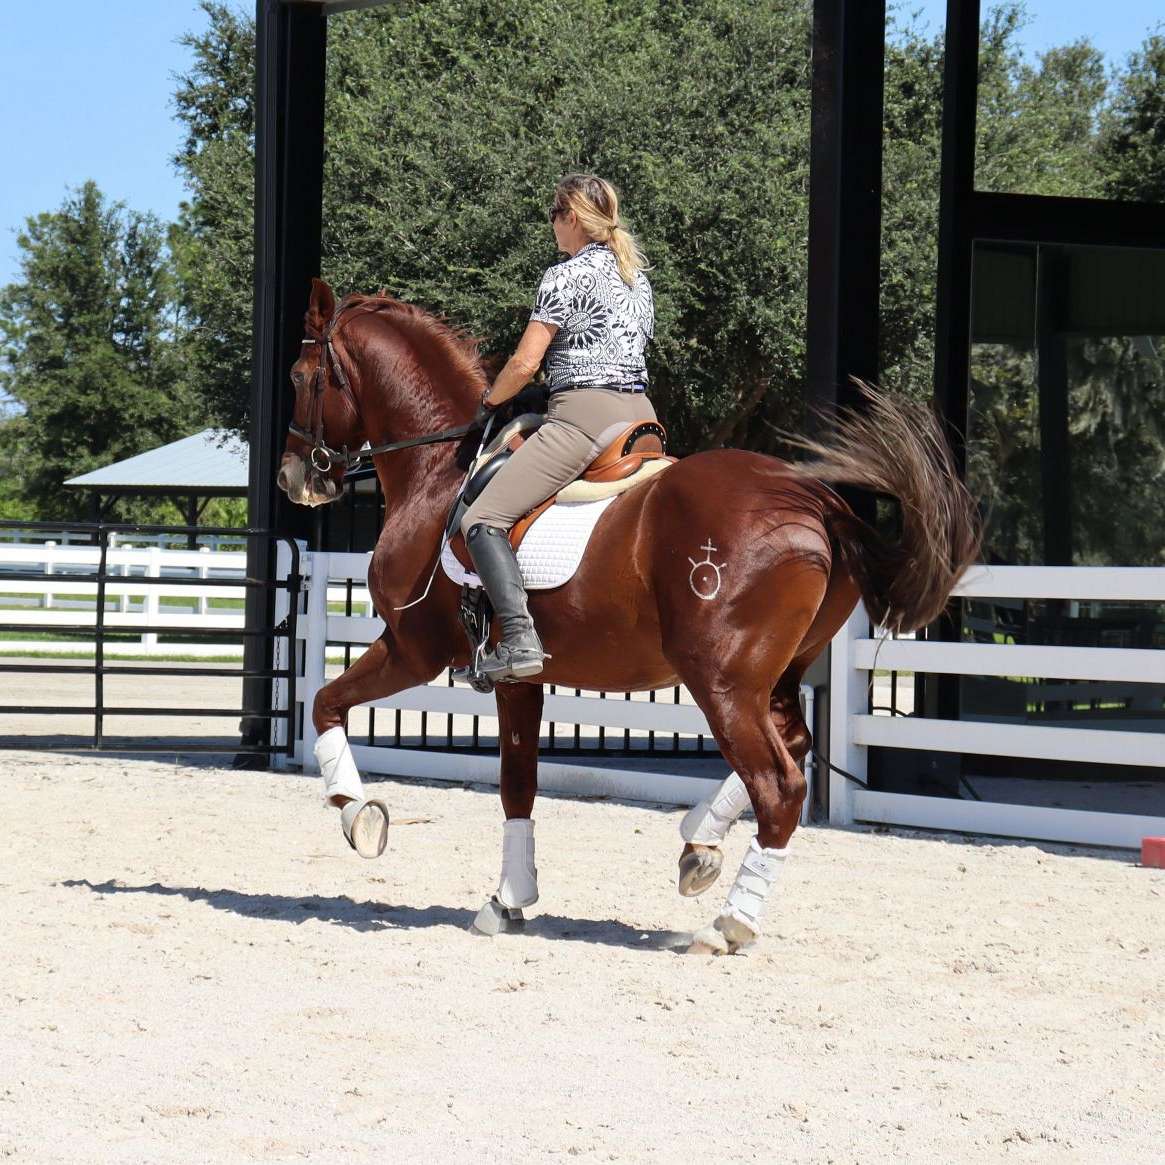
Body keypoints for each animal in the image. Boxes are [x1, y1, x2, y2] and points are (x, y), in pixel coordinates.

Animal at [277, 277, 978, 950]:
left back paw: (729, 924)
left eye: (300, 377)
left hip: (721, 682)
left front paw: (358, 815)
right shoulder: (518, 679)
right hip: (773, 677)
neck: (438, 474)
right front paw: (509, 900)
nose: (291, 477)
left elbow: (326, 704)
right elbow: (516, 782)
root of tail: (811, 499)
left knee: (779, 785)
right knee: (793, 749)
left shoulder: (412, 648)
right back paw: (699, 843)